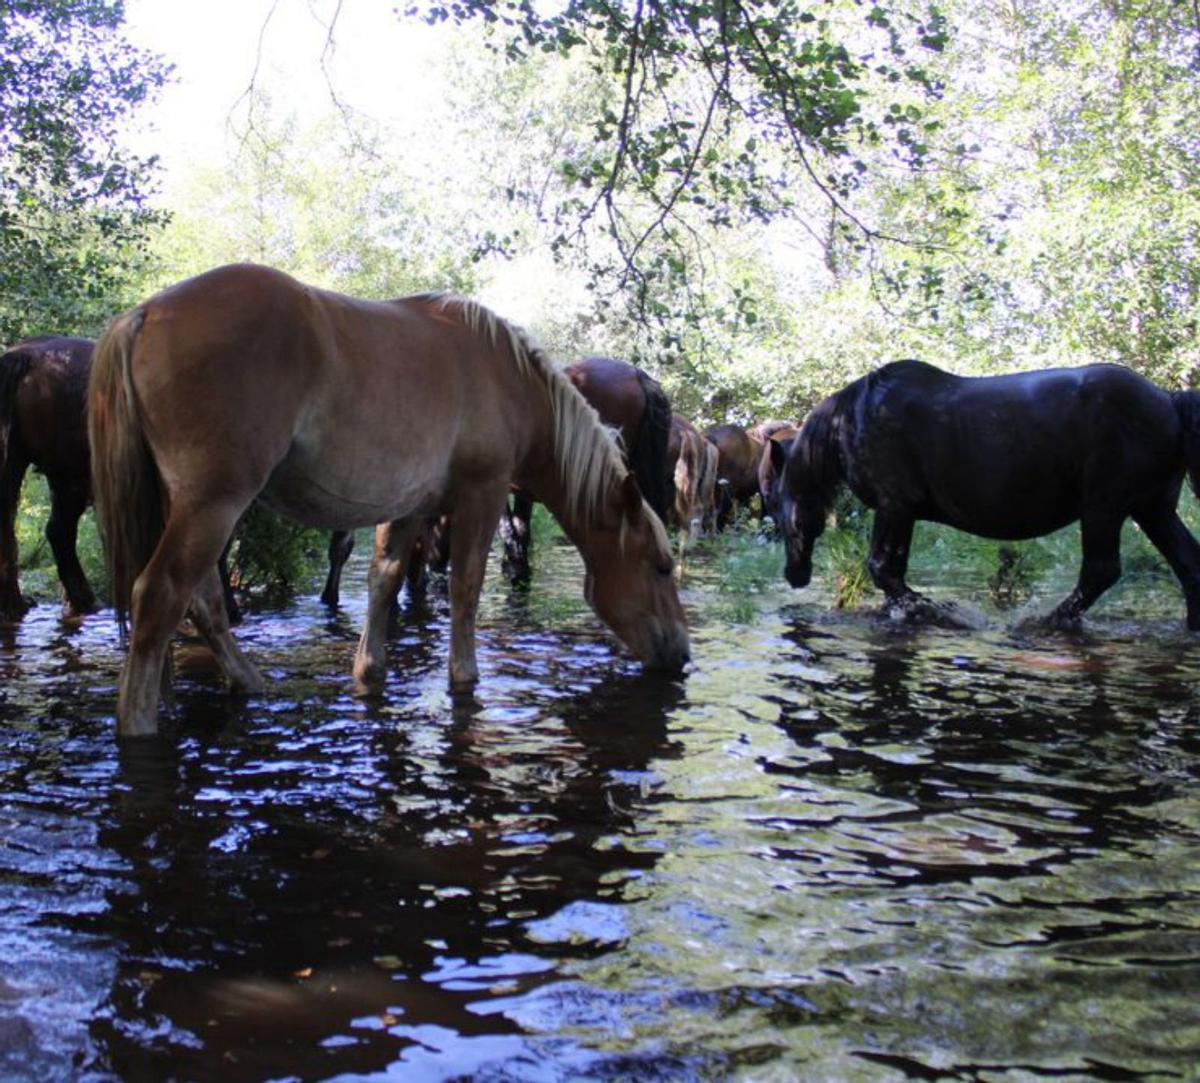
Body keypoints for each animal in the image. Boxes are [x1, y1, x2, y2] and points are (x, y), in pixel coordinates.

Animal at [772, 355, 1200, 629]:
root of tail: (1168, 398)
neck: (852, 421)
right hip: (1152, 508)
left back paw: (1047, 622)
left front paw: (932, 611)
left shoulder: (895, 506)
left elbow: (883, 569)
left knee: (1101, 570)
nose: (794, 575)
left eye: (780, 513)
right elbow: (892, 571)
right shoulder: (900, 512)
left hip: (1104, 508)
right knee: (1188, 564)